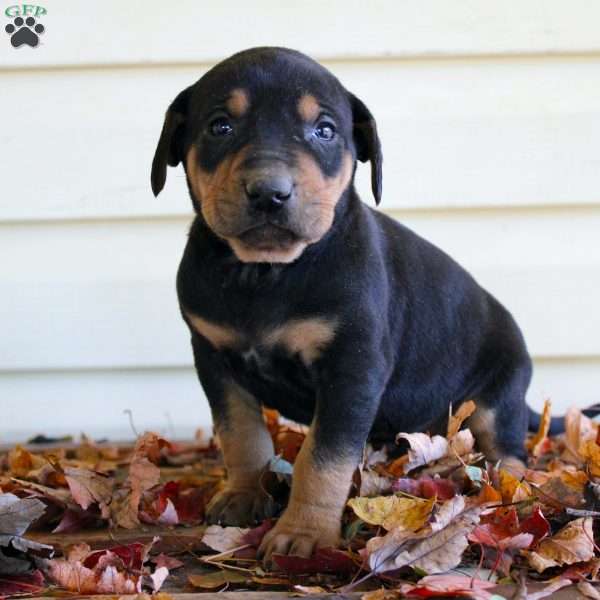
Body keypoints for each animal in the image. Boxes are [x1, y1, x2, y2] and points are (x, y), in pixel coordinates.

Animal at [150, 47, 536, 564]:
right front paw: (243, 493)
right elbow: (240, 433)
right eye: (220, 126)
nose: (269, 192)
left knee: (507, 446)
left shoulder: (352, 366)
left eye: (325, 131)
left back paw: (506, 484)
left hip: (500, 391)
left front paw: (304, 534)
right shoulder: (213, 357)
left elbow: (323, 457)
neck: (266, 273)